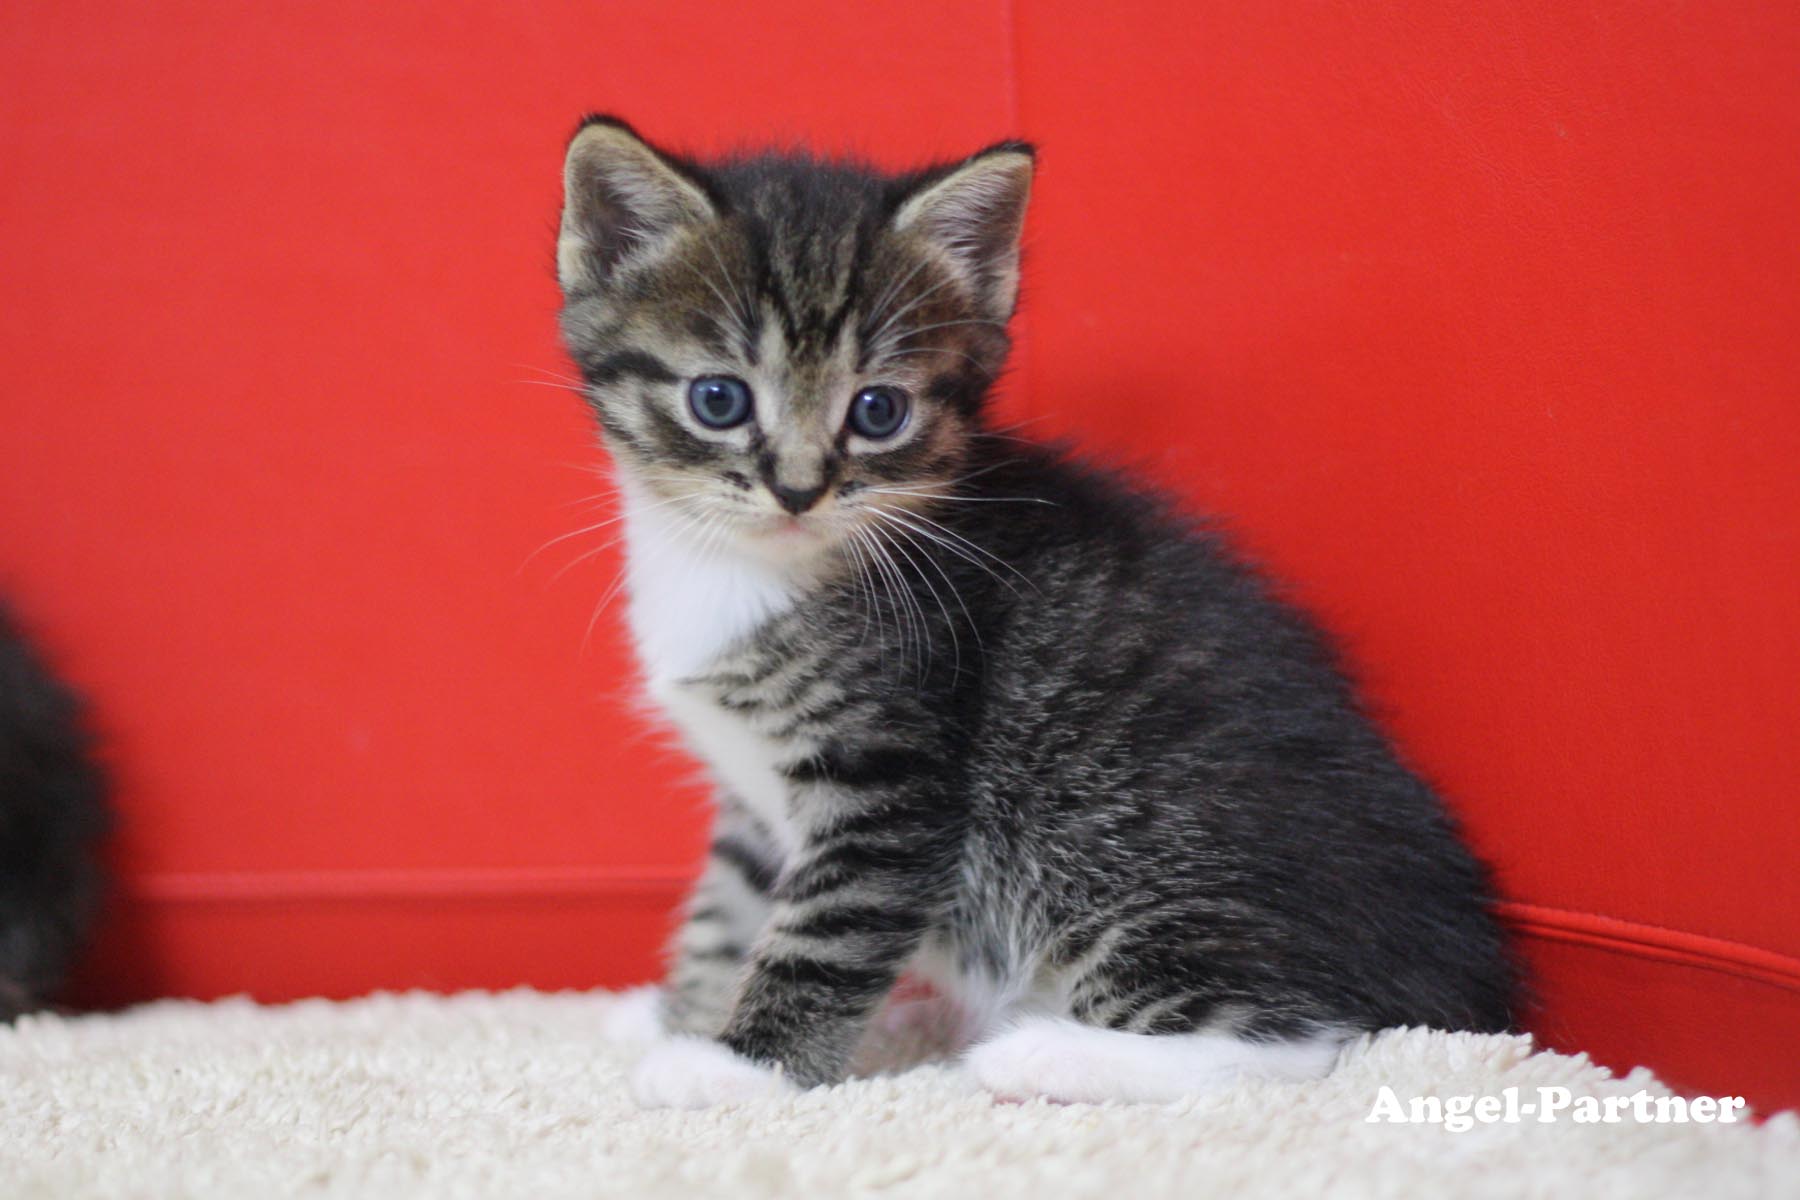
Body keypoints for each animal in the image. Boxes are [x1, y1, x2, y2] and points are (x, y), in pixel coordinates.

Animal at [554, 119, 1512, 1108]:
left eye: (879, 410)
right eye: (719, 399)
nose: (798, 488)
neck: (745, 564)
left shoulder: (892, 773)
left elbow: (826, 933)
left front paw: (739, 1065)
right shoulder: (754, 797)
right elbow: (731, 902)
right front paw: (677, 1012)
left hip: (1116, 850)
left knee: (1306, 1043)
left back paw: (1040, 1053)